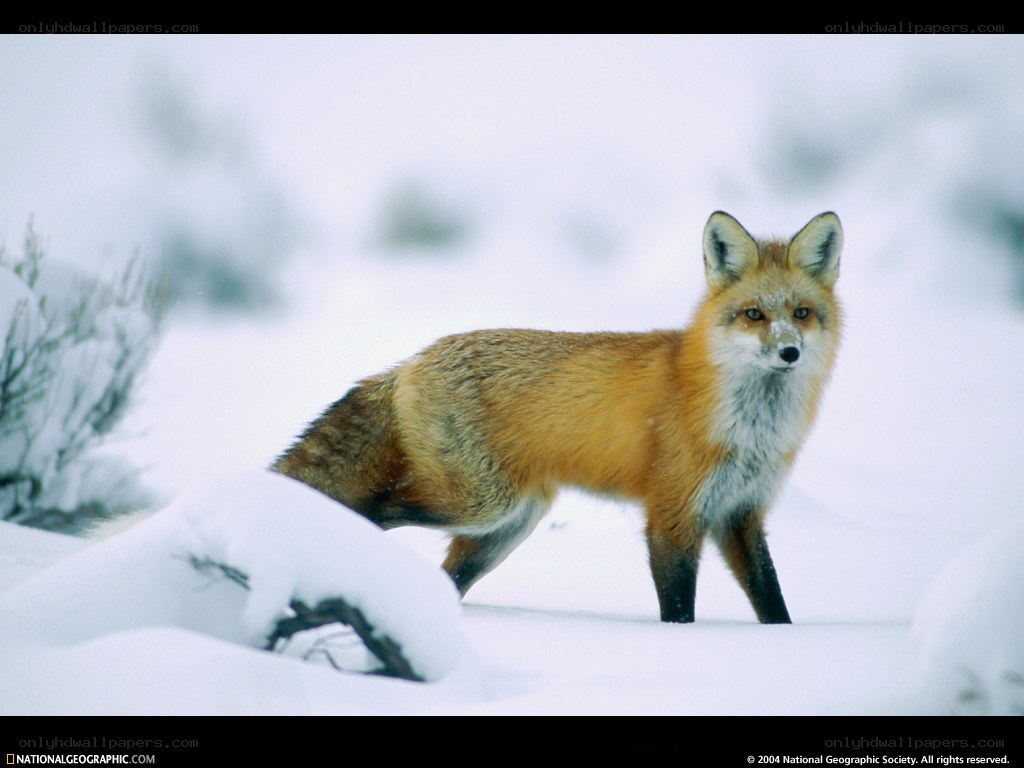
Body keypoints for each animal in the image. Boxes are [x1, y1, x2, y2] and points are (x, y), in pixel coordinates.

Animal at [272, 210, 843, 624]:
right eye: (754, 315)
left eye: (801, 314)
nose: (789, 352)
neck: (751, 430)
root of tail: (409, 361)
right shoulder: (671, 514)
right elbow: (679, 609)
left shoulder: (741, 514)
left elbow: (774, 607)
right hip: (479, 502)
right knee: (373, 510)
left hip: (505, 526)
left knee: (443, 573)